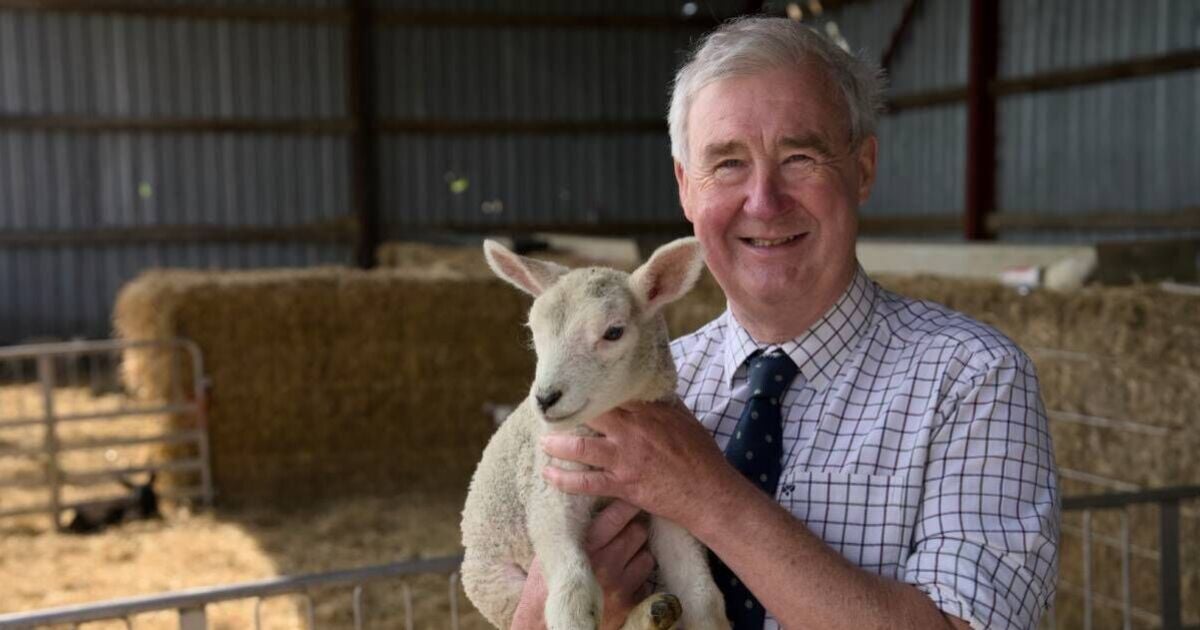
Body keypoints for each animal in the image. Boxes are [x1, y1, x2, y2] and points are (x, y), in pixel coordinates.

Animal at [458, 237, 724, 628]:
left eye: (613, 332)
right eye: (533, 332)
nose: (545, 398)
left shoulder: (669, 505)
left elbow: (701, 595)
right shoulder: (551, 490)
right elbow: (571, 589)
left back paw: (652, 612)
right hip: (493, 583)